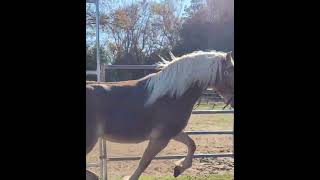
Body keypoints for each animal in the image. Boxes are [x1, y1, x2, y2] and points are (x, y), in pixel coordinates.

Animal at [86, 50, 234, 179]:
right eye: (231, 71)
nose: (233, 103)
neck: (172, 95)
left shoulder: (172, 133)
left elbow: (192, 144)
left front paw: (178, 169)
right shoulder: (160, 139)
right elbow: (144, 162)